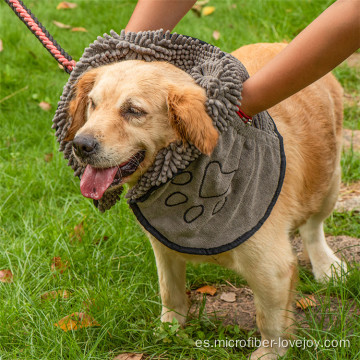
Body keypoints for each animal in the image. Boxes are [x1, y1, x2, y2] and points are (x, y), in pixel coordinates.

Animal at [65, 43, 346, 358]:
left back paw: (326, 264)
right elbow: (170, 293)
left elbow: (271, 319)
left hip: (329, 180)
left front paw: (270, 353)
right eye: (92, 104)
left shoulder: (271, 267)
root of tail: (280, 43)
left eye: (133, 110)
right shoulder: (163, 246)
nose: (80, 145)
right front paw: (169, 330)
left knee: (313, 228)